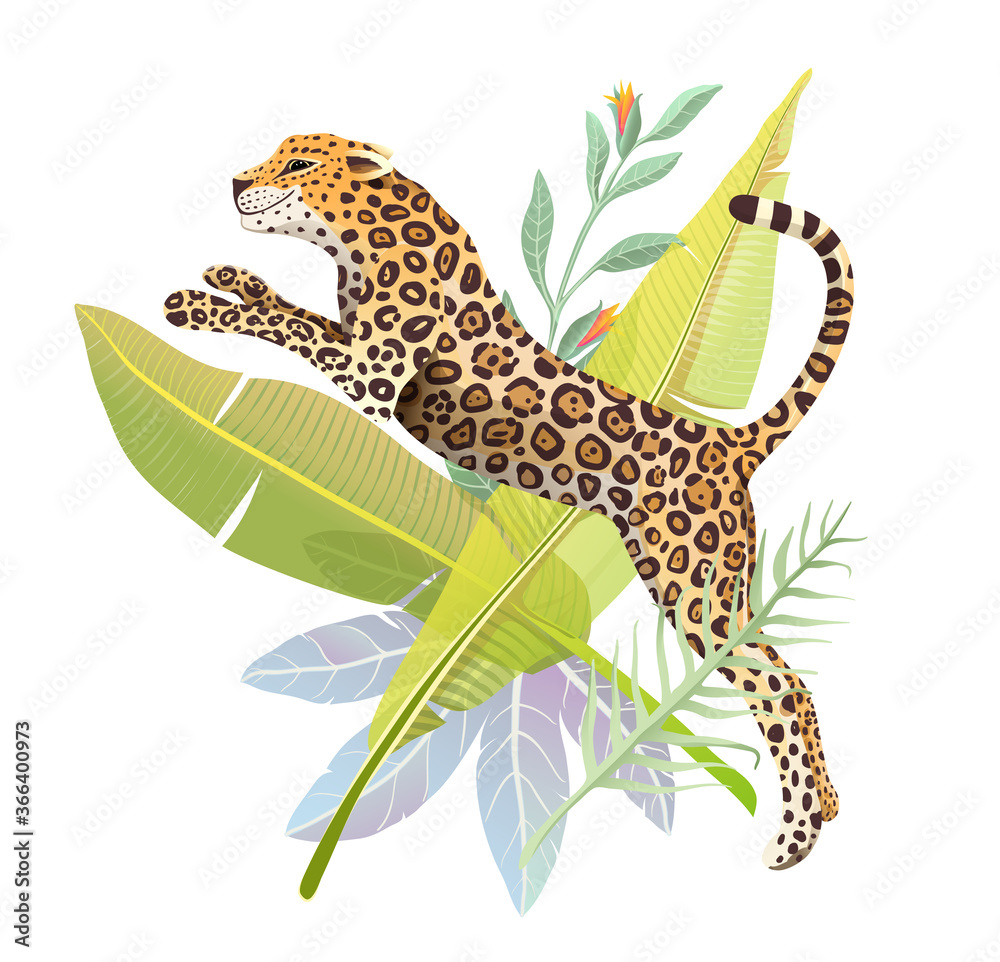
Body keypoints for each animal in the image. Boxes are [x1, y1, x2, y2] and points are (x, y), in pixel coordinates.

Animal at [163, 133, 855, 870]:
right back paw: (828, 805)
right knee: (786, 675)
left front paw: (197, 304)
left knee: (780, 687)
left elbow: (286, 325)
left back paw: (797, 831)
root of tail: (726, 438)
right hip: (726, 583)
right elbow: (297, 312)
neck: (360, 238)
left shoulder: (371, 375)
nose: (236, 184)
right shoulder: (354, 345)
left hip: (693, 586)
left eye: (299, 163)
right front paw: (233, 276)